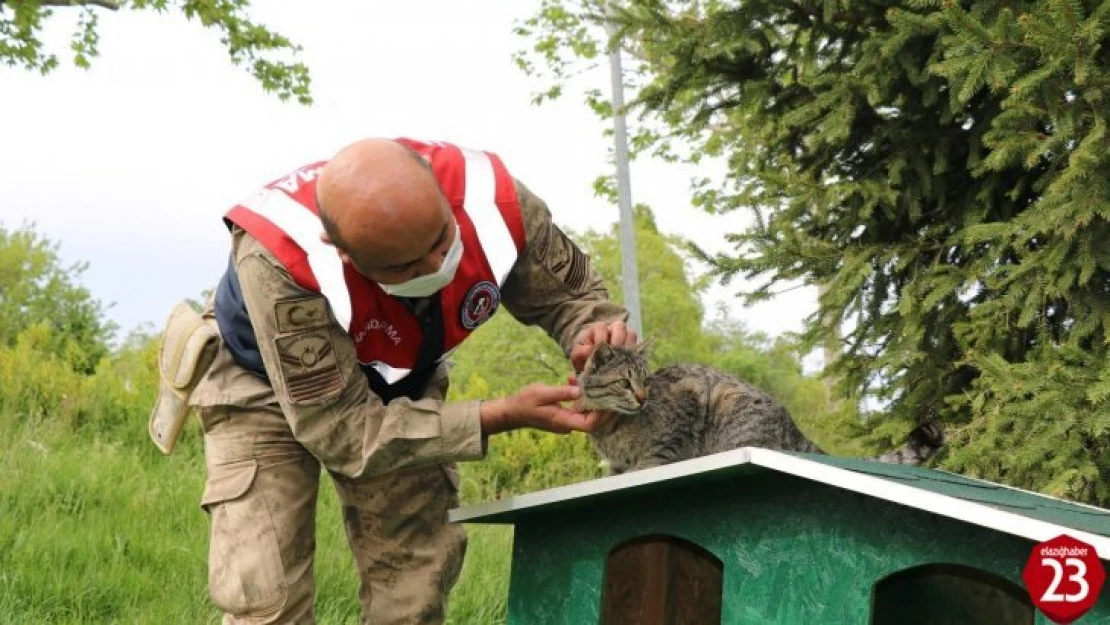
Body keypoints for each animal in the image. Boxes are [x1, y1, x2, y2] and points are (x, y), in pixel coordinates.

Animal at [577, 341, 941, 475]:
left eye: (647, 382)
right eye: (625, 383)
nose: (641, 398)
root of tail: (791, 422)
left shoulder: (684, 407)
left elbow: (654, 459)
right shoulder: (616, 464)